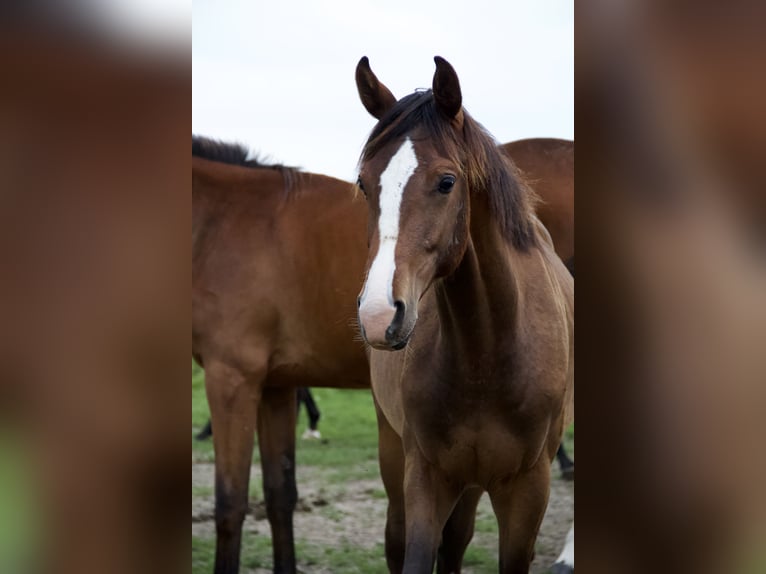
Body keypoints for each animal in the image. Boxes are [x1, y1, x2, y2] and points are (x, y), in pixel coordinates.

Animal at [353, 55, 574, 574]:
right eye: (363, 183)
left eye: (446, 182)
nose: (378, 316)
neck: (487, 350)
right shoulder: (426, 476)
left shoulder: (529, 489)